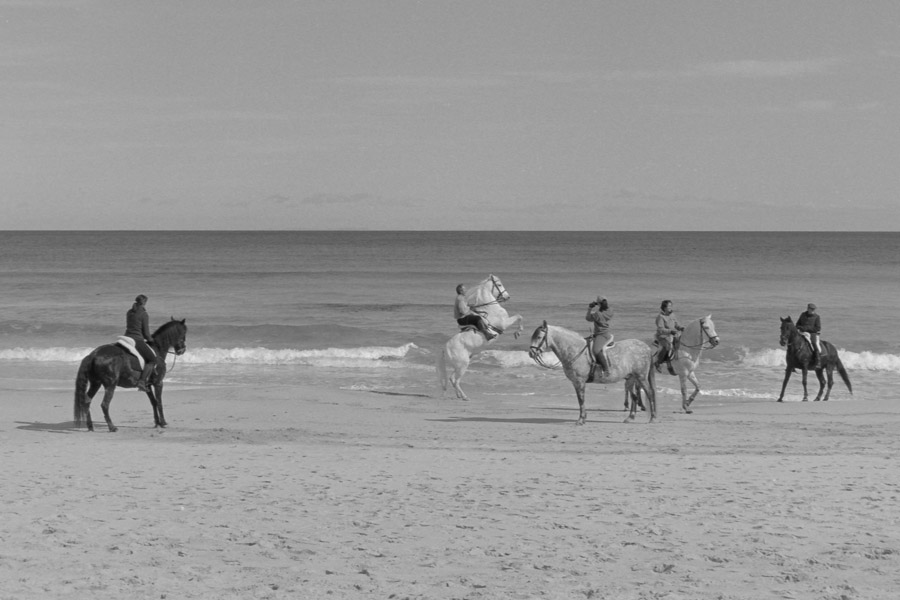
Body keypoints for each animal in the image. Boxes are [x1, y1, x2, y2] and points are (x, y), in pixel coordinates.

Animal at [528, 322, 660, 424]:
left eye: (539, 337)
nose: (531, 353)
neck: (575, 350)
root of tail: (646, 347)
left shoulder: (579, 381)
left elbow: (581, 399)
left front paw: (581, 420)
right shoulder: (576, 383)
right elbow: (580, 400)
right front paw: (583, 418)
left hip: (641, 377)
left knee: (649, 393)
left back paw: (653, 418)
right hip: (631, 378)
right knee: (634, 396)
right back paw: (630, 418)